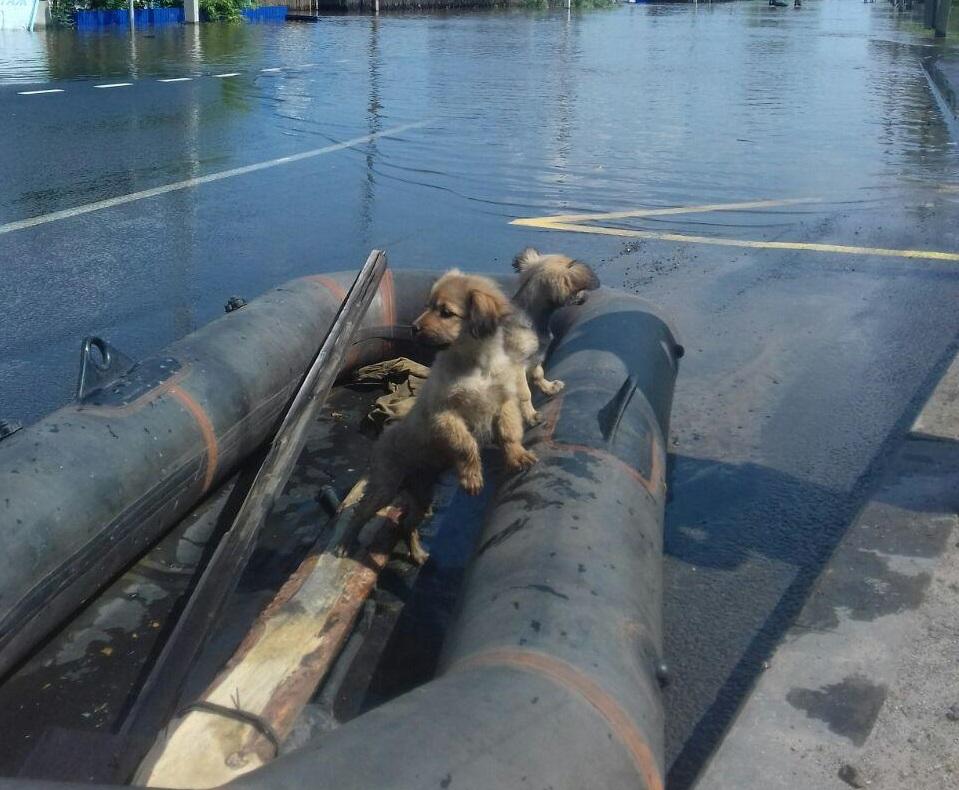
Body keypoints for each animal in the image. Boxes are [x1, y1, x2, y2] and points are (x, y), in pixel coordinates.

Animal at [348, 270, 536, 548]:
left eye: (446, 312)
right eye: (428, 306)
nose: (413, 328)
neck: (476, 365)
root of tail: (382, 437)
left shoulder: (504, 402)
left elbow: (509, 431)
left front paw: (517, 455)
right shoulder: (445, 413)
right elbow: (466, 445)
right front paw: (472, 477)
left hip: (422, 495)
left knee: (407, 524)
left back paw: (417, 553)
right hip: (385, 485)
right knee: (361, 512)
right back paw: (345, 544)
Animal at [506, 251, 596, 430]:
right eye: (578, 289)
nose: (587, 297)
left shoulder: (535, 359)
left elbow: (539, 375)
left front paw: (549, 388)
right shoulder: (517, 367)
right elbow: (525, 394)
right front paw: (531, 417)